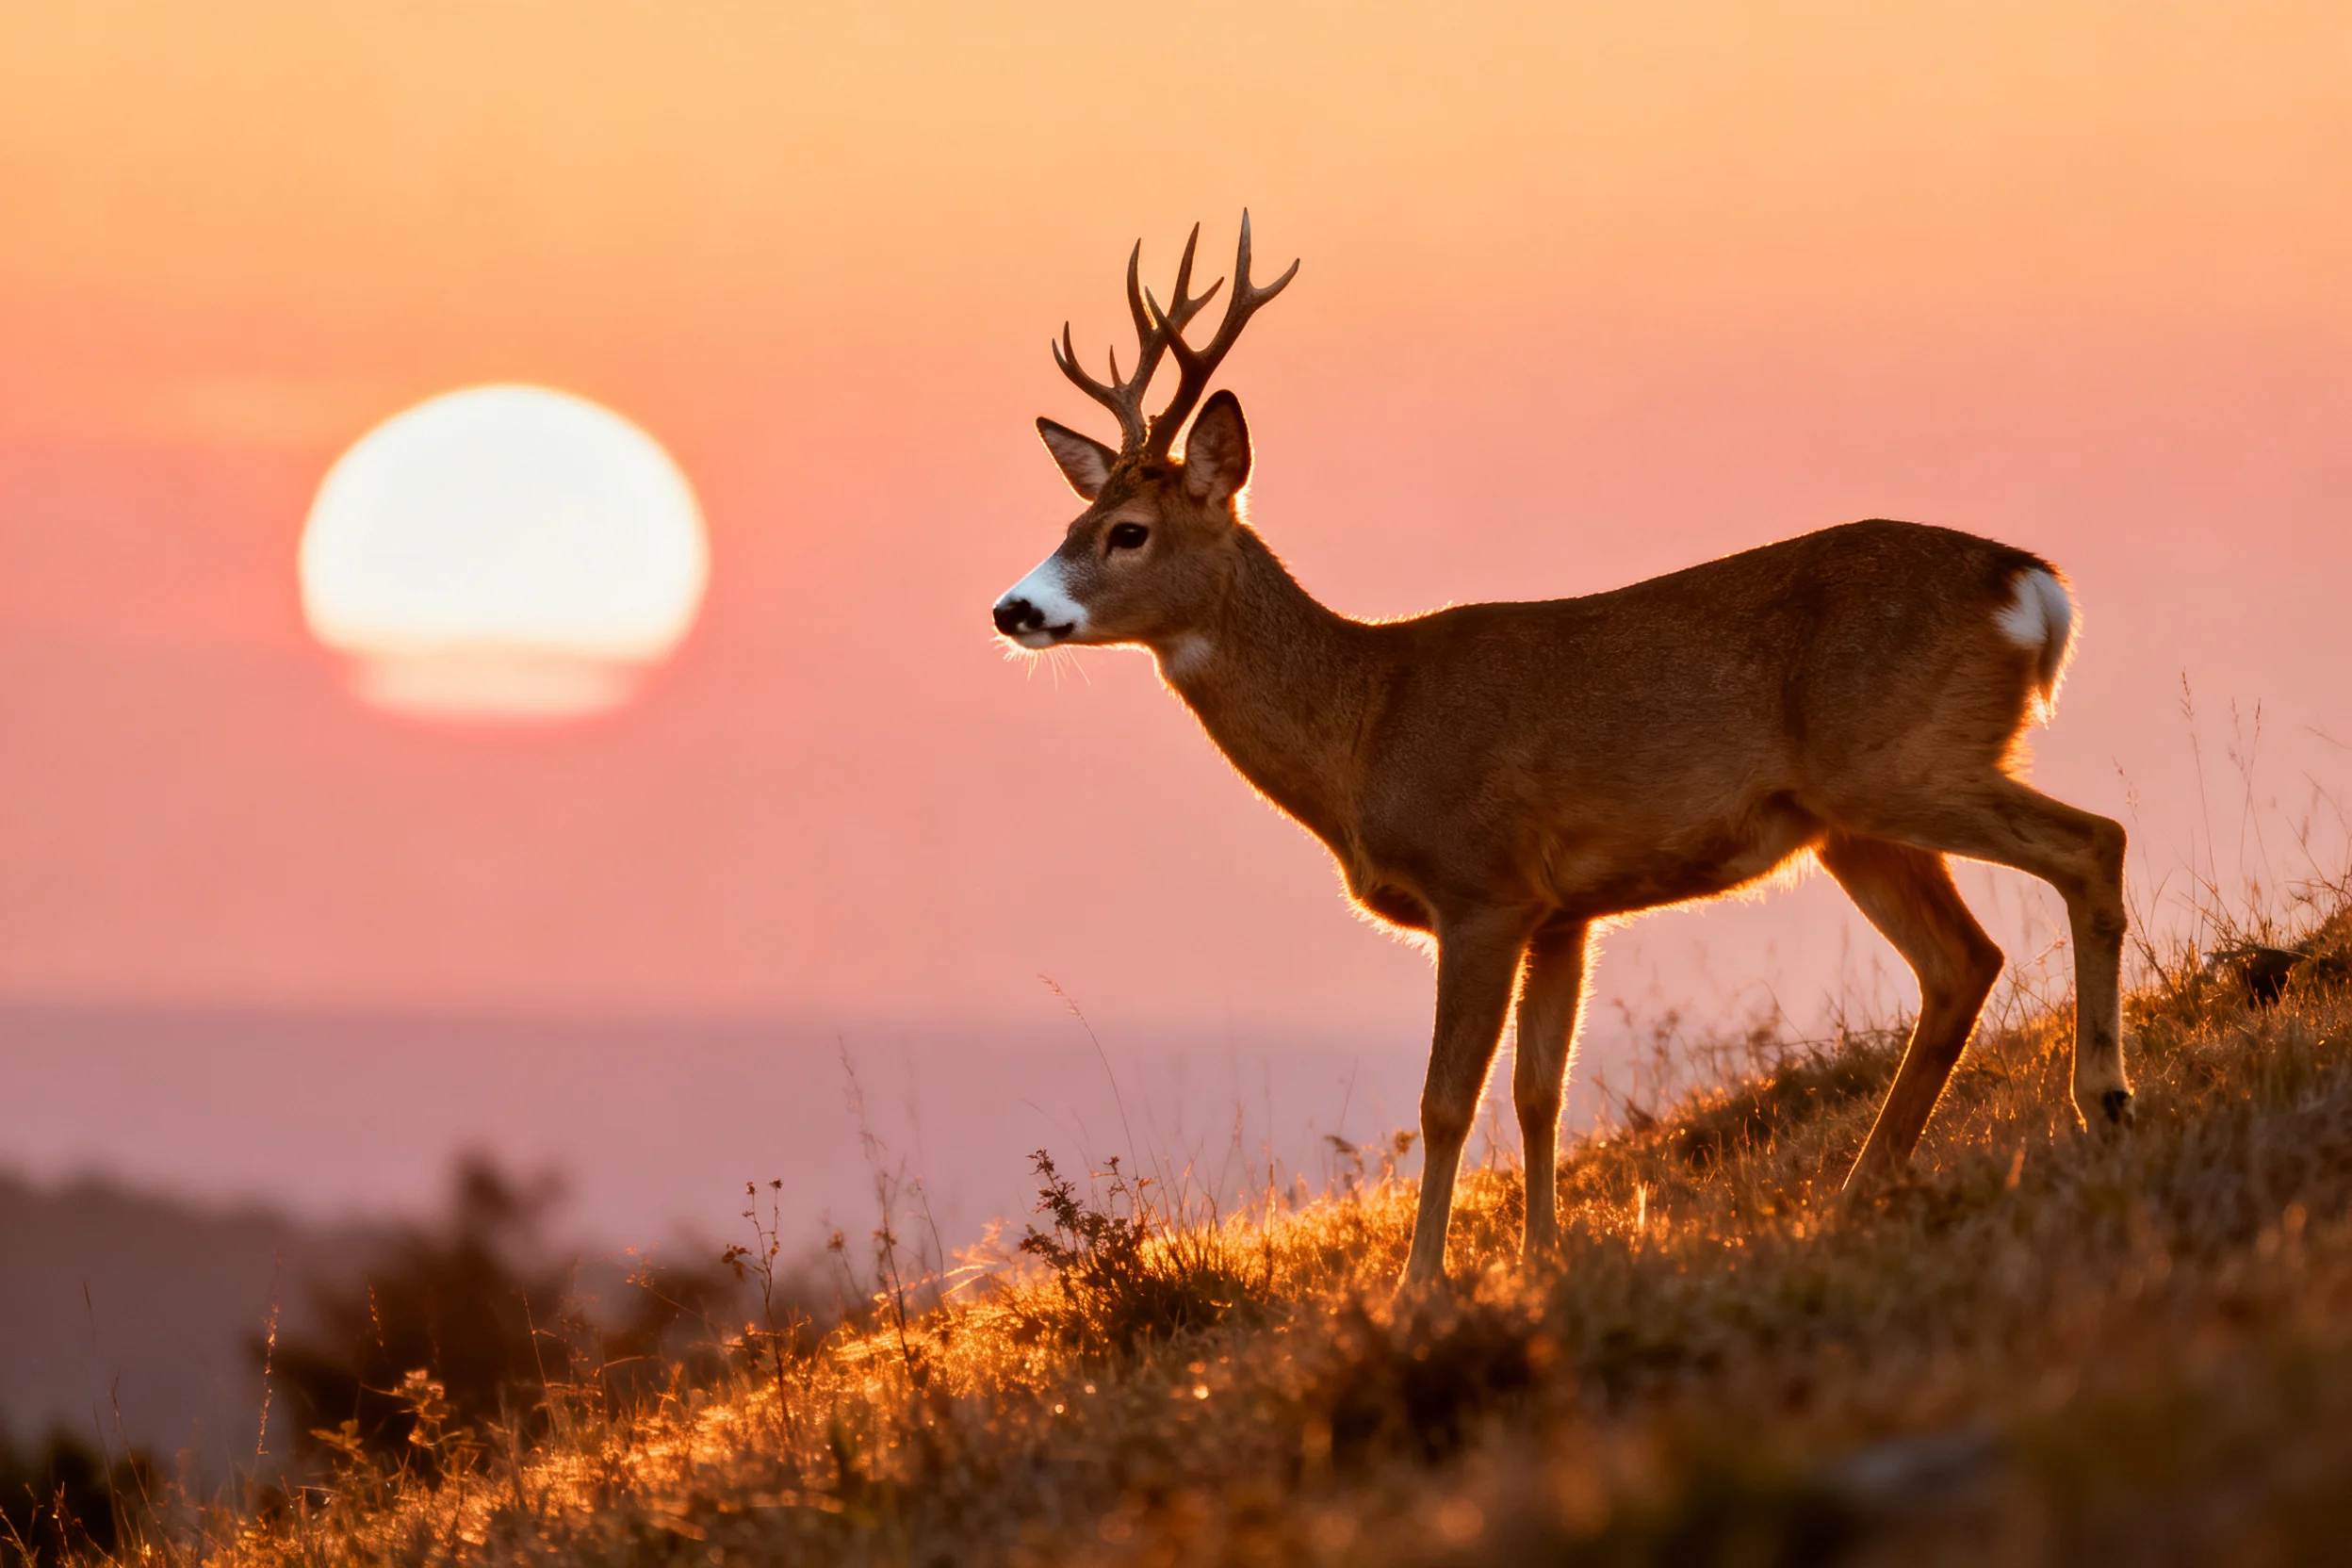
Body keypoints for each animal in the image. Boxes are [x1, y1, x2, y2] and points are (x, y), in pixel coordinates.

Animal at [992, 215, 2131, 1291]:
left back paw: (2102, 1101)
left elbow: (1447, 1100)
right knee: (1963, 961)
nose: (1014, 608)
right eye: (1071, 519)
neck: (1366, 728)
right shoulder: (1565, 910)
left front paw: (1419, 1284)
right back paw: (1862, 1186)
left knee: (2092, 844)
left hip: (1899, 762)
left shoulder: (1482, 886)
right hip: (1854, 822)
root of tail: (2029, 586)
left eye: (1129, 532)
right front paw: (1543, 1254)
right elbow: (1542, 1091)